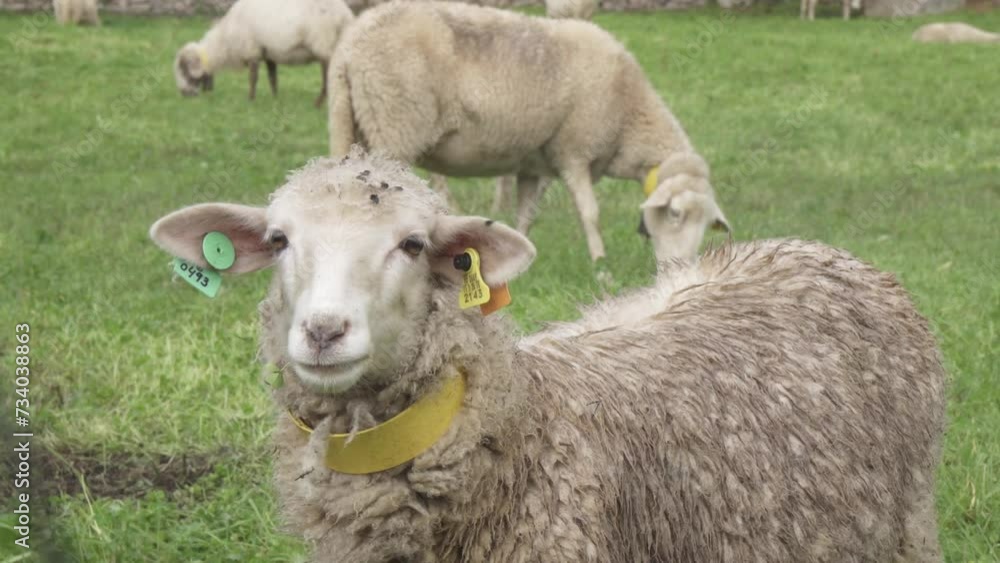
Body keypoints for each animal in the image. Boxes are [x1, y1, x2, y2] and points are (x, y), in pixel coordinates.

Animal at [174, 0, 354, 106]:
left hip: (323, 43)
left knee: (327, 75)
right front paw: (275, 99)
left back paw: (319, 103)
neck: (225, 41)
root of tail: (344, 14)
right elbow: (272, 78)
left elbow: (253, 79)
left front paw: (250, 100)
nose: (184, 94)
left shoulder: (252, 51)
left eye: (184, 70)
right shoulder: (269, 54)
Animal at [328, 1, 726, 263]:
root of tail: (350, 45)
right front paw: (600, 265)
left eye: (707, 224)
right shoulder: (574, 151)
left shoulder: (534, 165)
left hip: (357, 122)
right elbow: (590, 212)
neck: (630, 114)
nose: (682, 267)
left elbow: (526, 215)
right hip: (395, 125)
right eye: (675, 215)